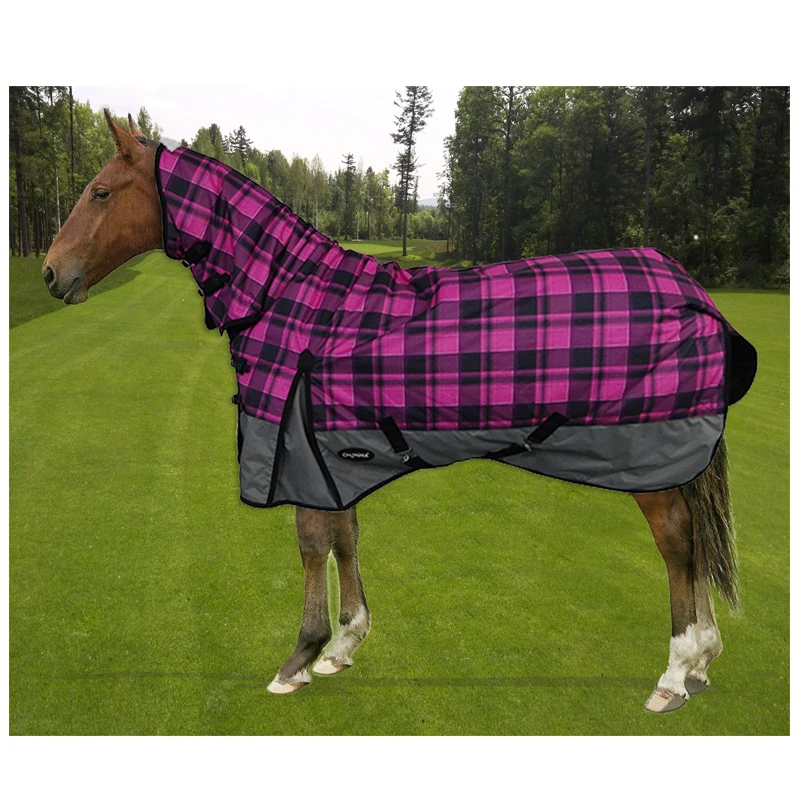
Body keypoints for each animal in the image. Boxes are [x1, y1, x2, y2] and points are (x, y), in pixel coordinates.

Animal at [42, 109, 752, 713]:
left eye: (101, 192)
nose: (50, 273)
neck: (293, 298)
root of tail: (689, 289)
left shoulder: (297, 452)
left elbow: (311, 545)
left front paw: (298, 658)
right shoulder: (329, 454)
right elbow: (343, 536)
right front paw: (343, 645)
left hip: (651, 462)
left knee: (678, 545)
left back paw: (675, 672)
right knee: (695, 541)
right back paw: (703, 661)